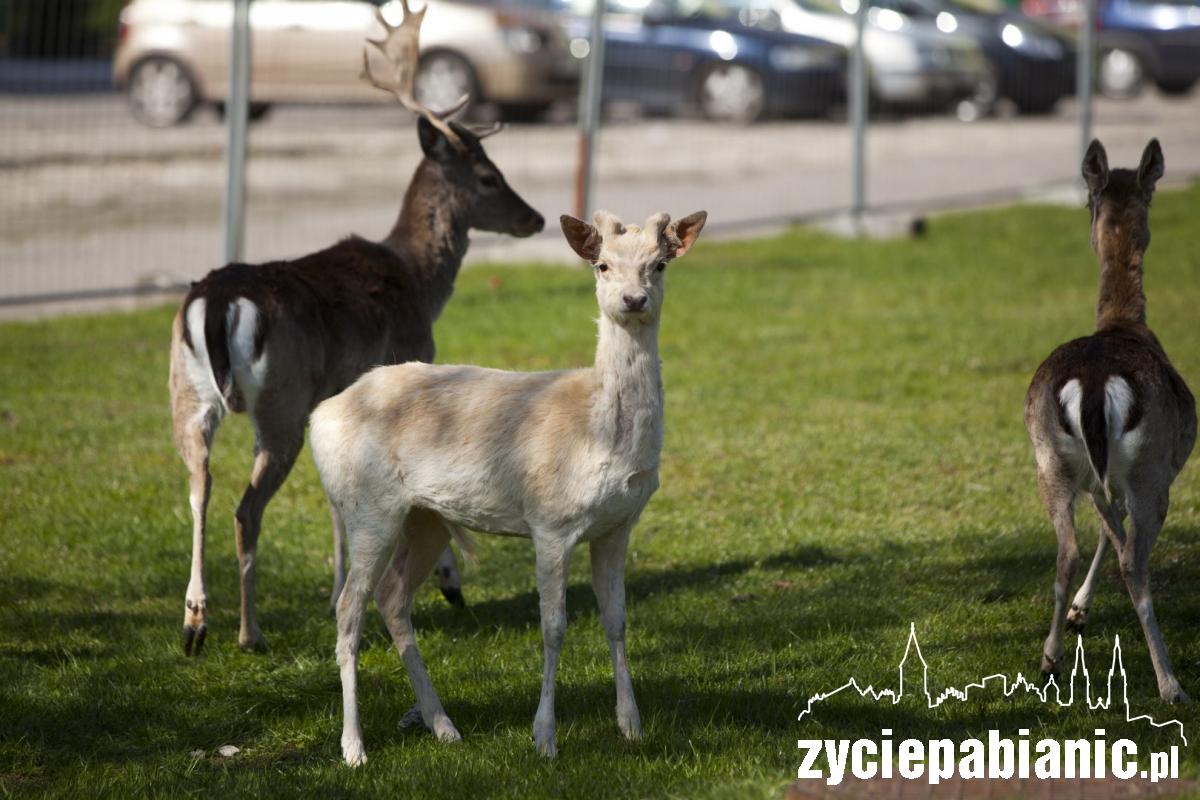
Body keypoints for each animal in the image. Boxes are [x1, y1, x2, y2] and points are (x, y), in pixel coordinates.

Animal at [307, 209, 710, 767]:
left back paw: (444, 727)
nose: (634, 300)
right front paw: (545, 739)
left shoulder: (617, 526)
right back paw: (354, 748)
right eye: (603, 265)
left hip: (425, 518)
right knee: (348, 609)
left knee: (391, 599)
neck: (597, 433)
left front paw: (632, 726)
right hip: (367, 504)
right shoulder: (551, 519)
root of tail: (318, 416)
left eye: (660, 264)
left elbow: (616, 619)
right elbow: (554, 626)